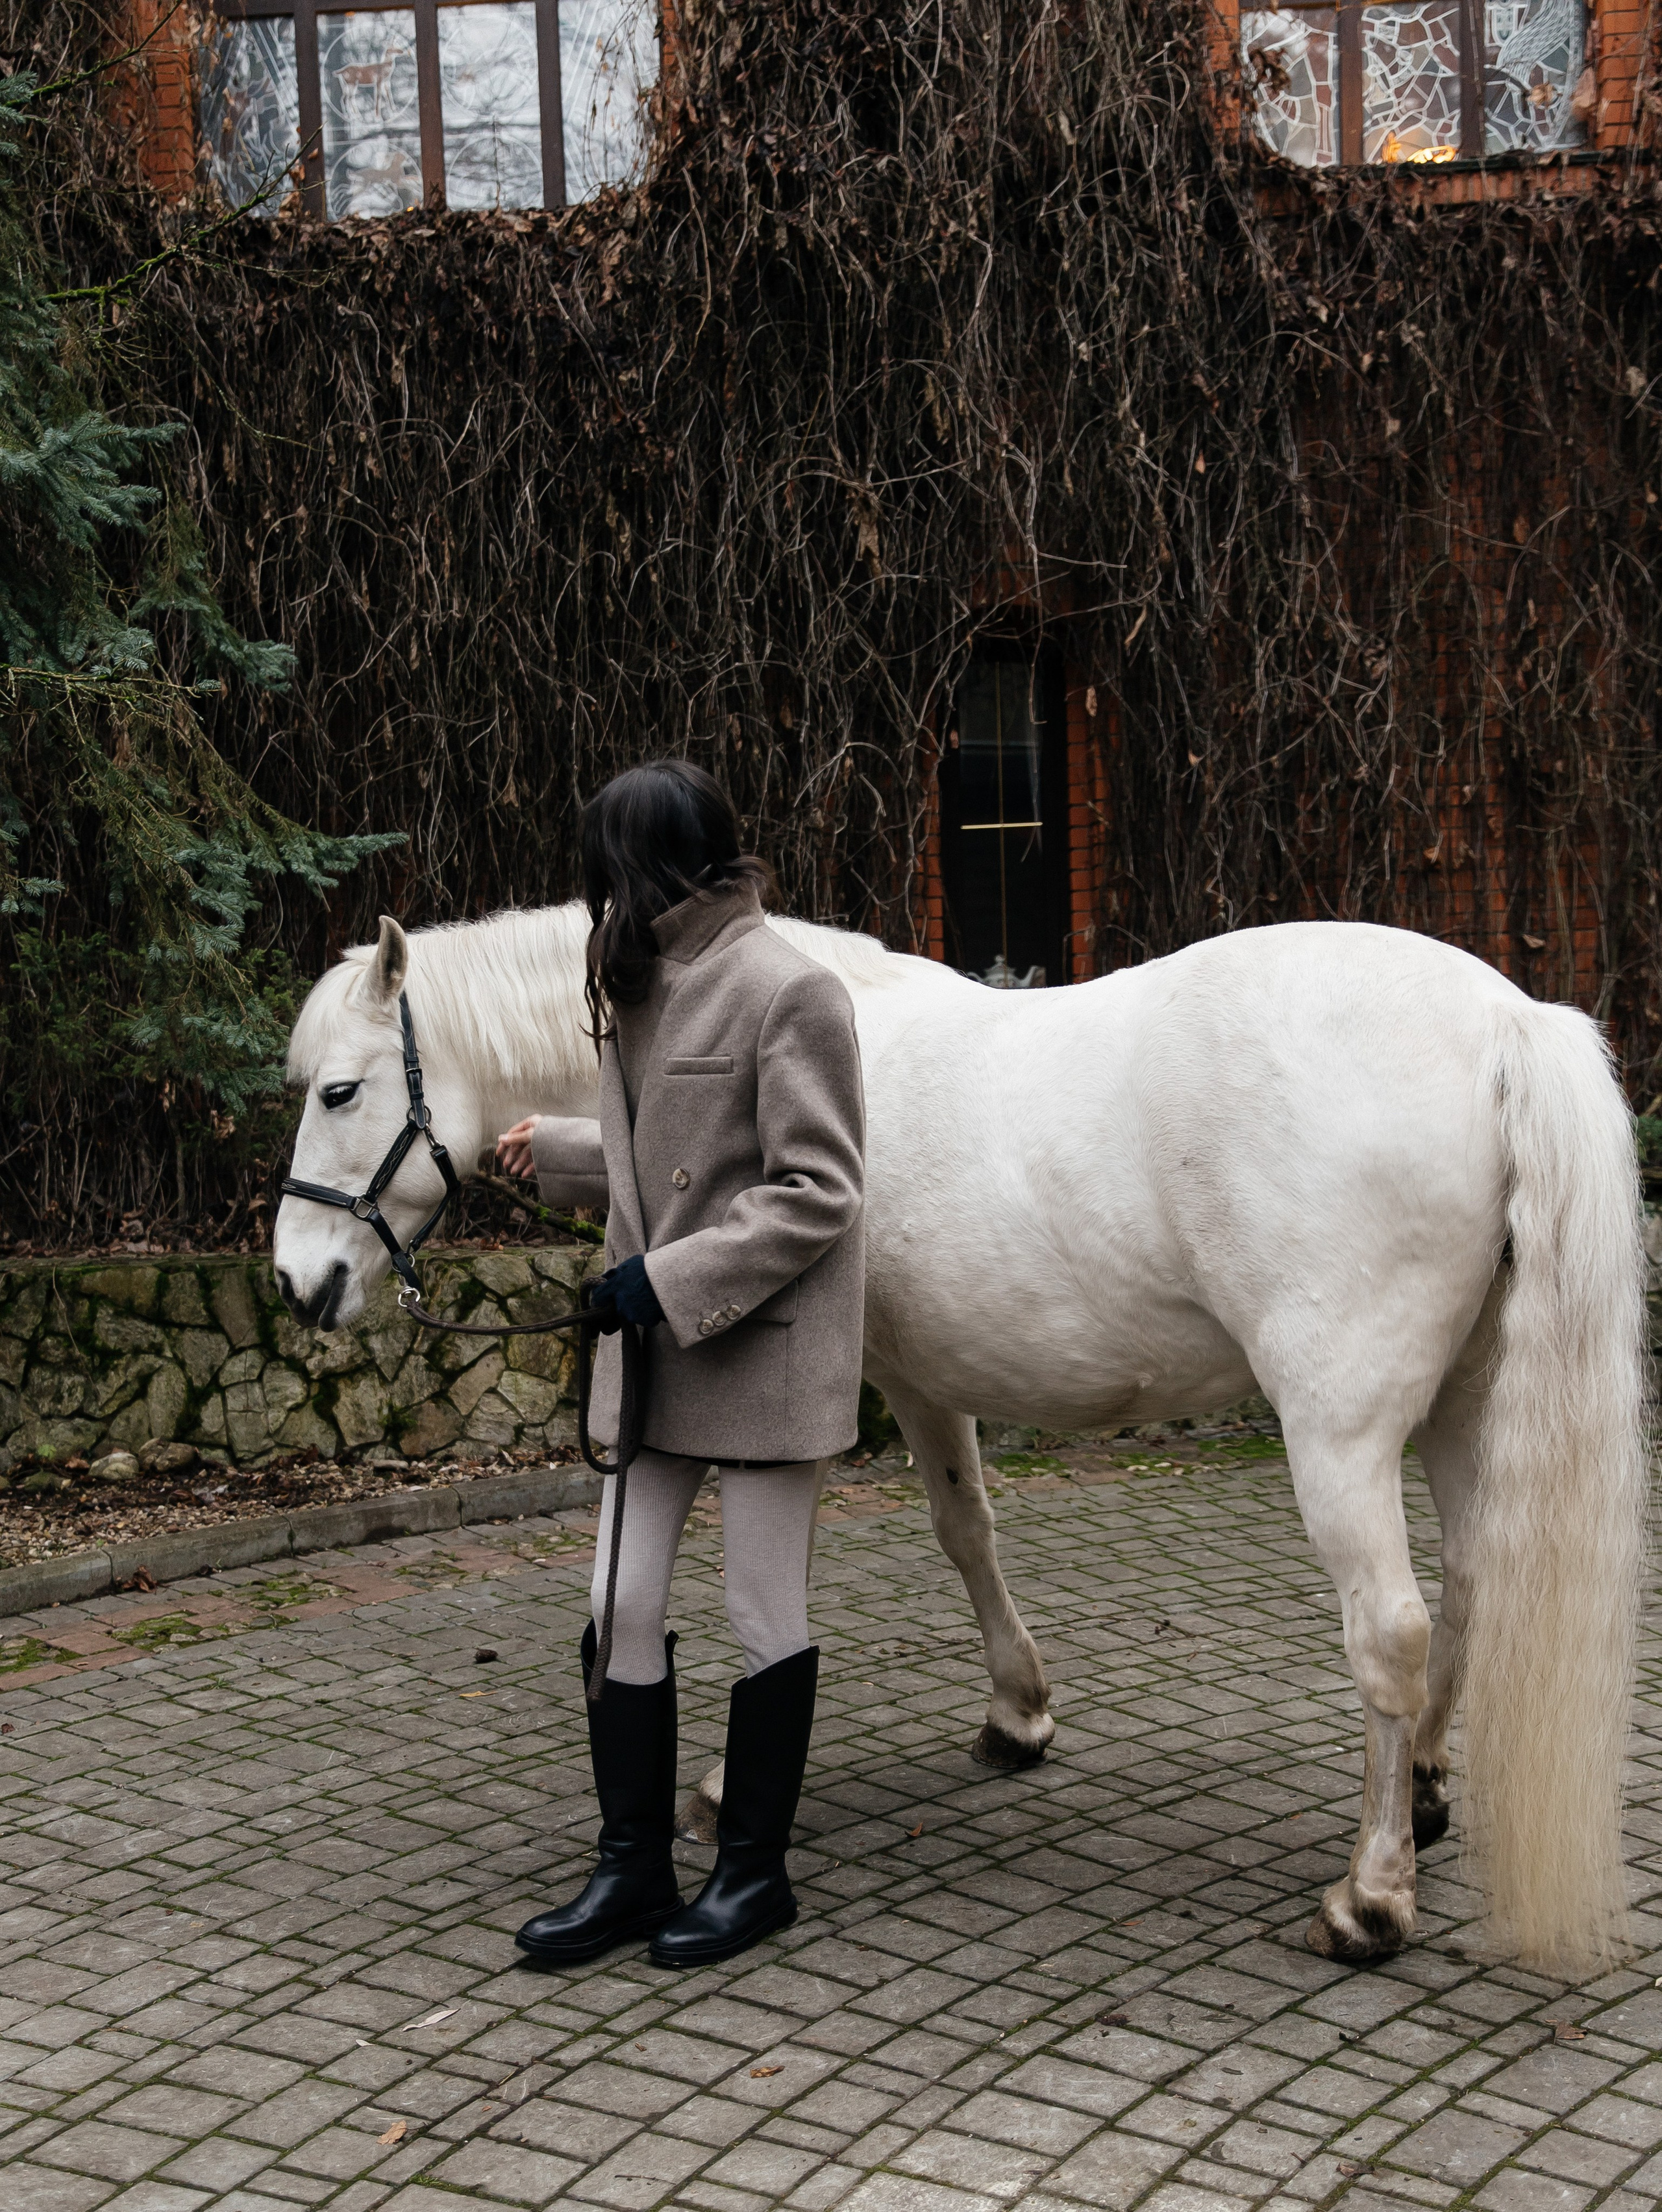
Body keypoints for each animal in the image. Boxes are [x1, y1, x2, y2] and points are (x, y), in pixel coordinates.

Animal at [274, 904, 1649, 1975]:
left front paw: (725, 1787)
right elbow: (966, 1528)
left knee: (1393, 1631)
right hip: (1465, 1403)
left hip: (1341, 1430)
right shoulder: (925, 1381)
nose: (297, 1283)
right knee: (1469, 1589)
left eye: (341, 1089)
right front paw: (1018, 1712)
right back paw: (1421, 1795)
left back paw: (1368, 1896)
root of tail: (1506, 1026)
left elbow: (806, 1574)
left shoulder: (834, 1386)